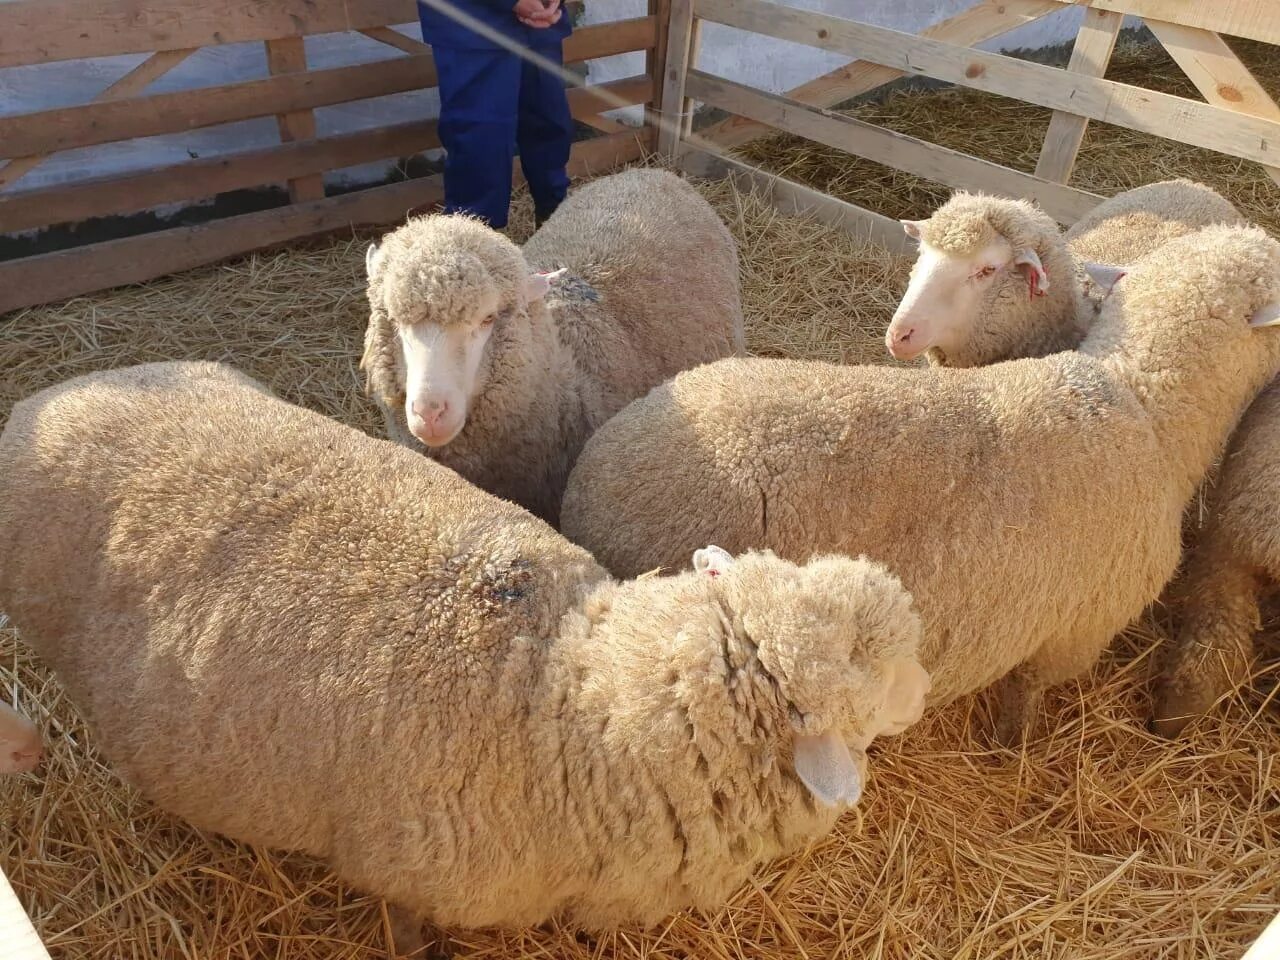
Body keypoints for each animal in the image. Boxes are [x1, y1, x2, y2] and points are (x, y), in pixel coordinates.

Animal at [0, 360, 926, 957]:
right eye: (875, 681)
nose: (925, 693)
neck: (572, 702)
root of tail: (51, 395)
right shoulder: (410, 873)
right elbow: (411, 932)